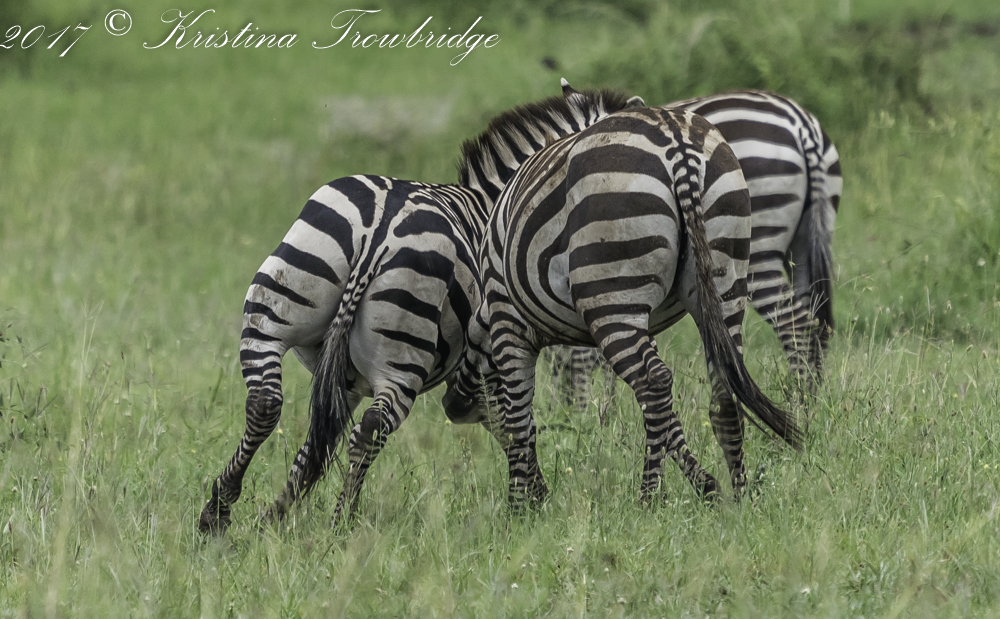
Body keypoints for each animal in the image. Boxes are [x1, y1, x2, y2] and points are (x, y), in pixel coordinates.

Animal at [197, 85, 642, 533]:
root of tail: (378, 230)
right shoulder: (485, 363)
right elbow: (515, 423)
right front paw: (535, 497)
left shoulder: (348, 380)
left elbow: (315, 444)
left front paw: (274, 515)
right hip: (402, 360)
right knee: (370, 429)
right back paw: (342, 523)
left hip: (272, 309)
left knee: (265, 402)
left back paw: (216, 512)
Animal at [462, 104, 803, 504]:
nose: (454, 407)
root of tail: (677, 142)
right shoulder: (647, 324)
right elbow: (672, 422)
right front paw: (707, 486)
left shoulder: (507, 322)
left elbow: (518, 419)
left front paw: (522, 504)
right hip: (725, 277)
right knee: (722, 388)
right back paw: (739, 497)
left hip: (613, 294)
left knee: (653, 385)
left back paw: (648, 499)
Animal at [548, 89, 843, 408]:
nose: (564, 408)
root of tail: (802, 125)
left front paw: (598, 408)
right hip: (805, 243)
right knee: (815, 322)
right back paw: (814, 399)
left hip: (757, 249)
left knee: (797, 326)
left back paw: (800, 400)